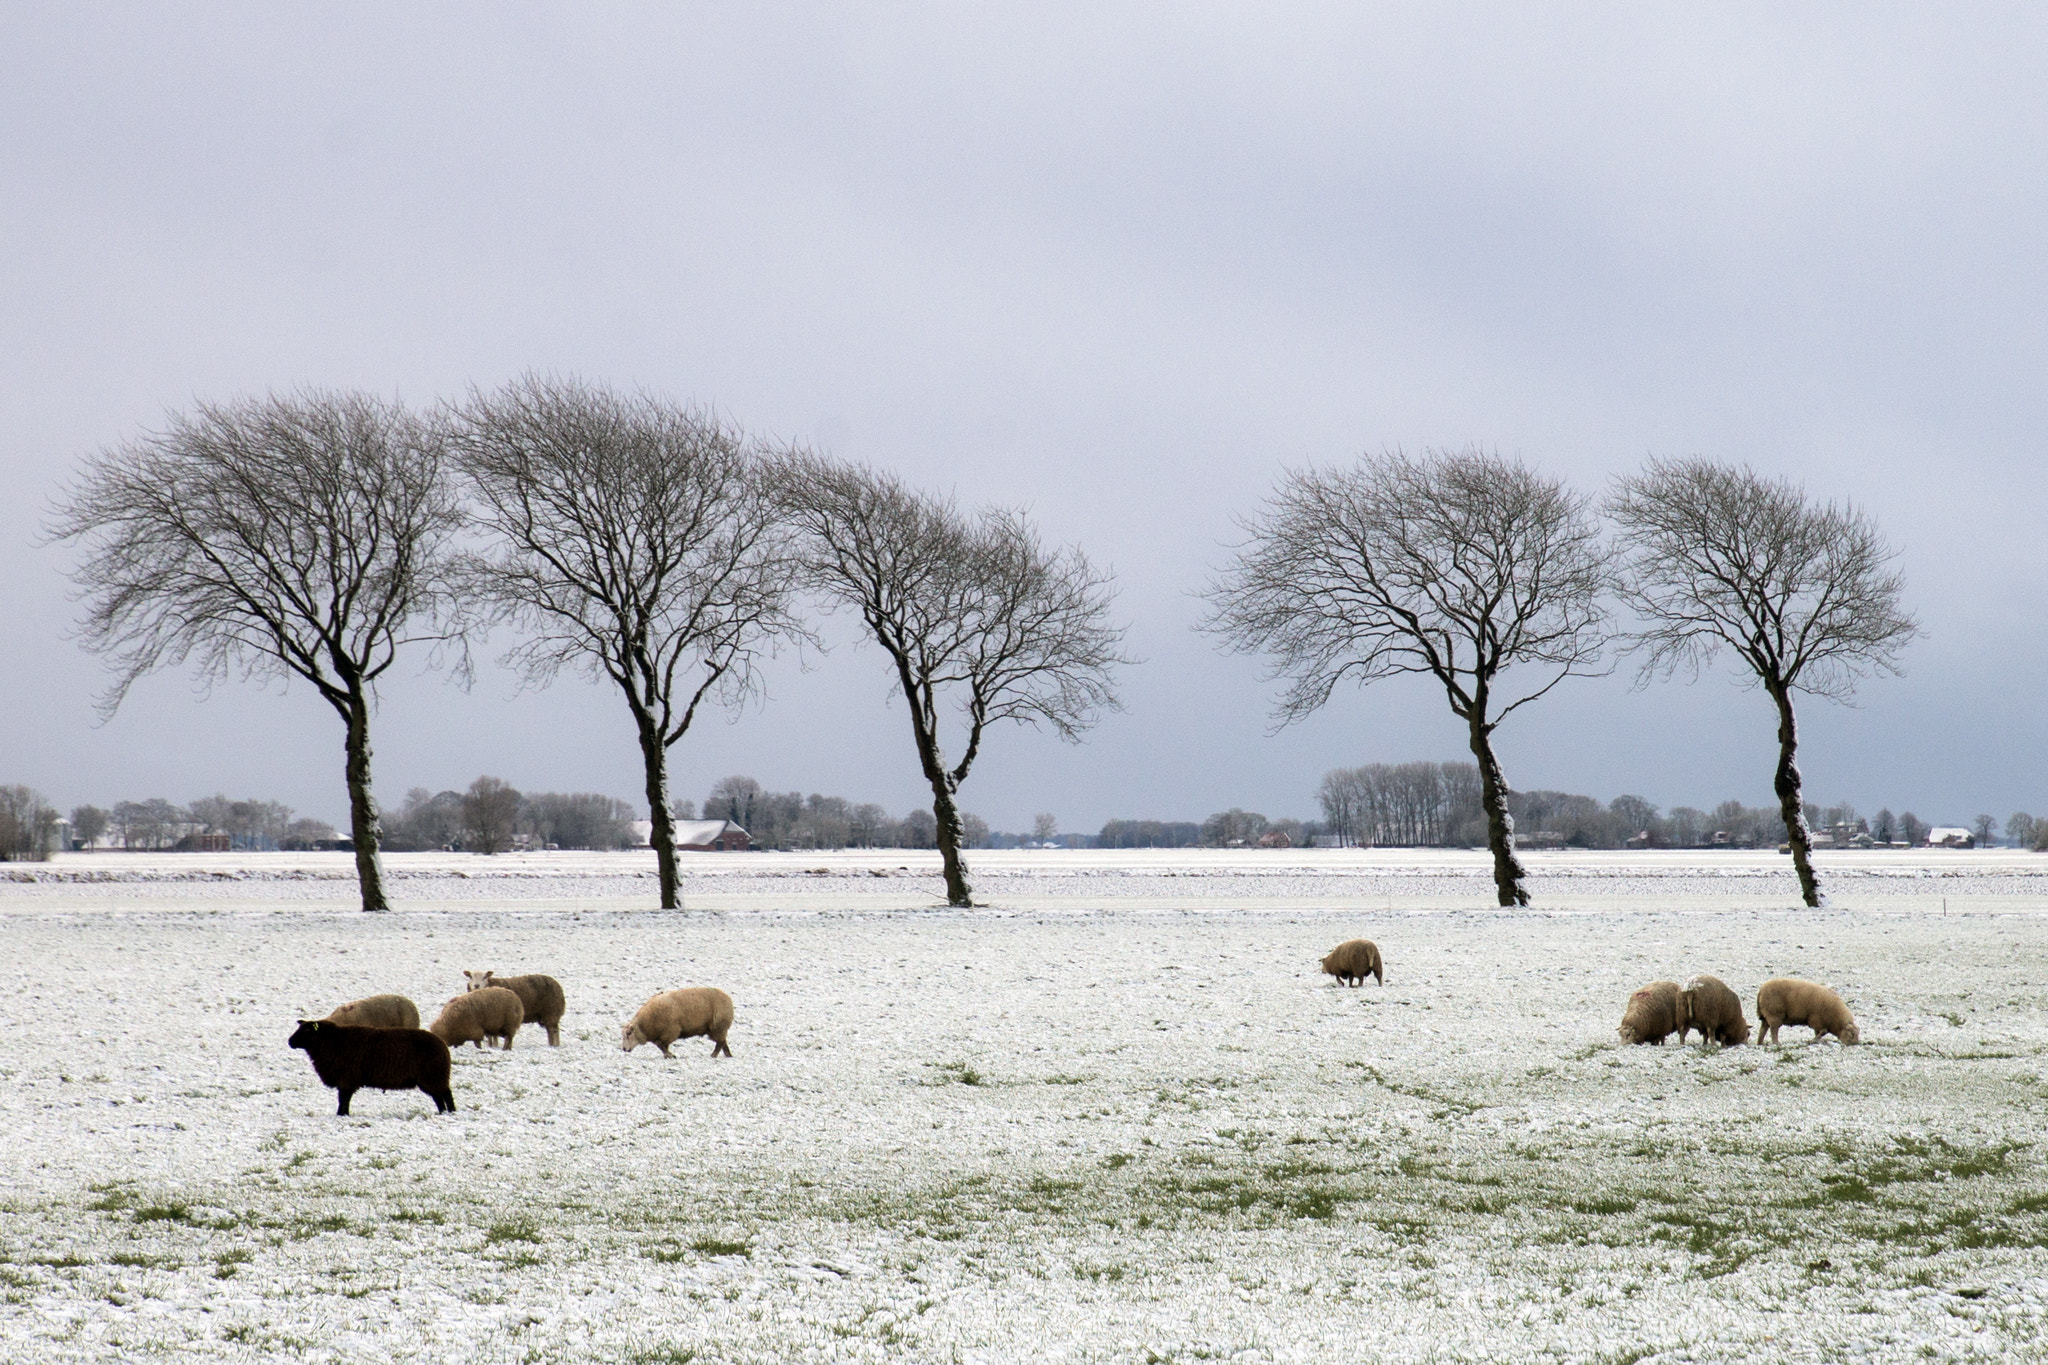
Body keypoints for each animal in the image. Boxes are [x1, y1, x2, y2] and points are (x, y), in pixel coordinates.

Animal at [288, 1019, 456, 1113]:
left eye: (306, 1030)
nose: (290, 1042)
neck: (331, 1041)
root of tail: (442, 1044)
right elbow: (344, 1099)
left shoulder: (347, 1078)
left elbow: (344, 1099)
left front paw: (342, 1114)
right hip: (432, 1078)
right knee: (439, 1098)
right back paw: (442, 1112)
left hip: (434, 1076)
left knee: (446, 1095)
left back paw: (451, 1112)